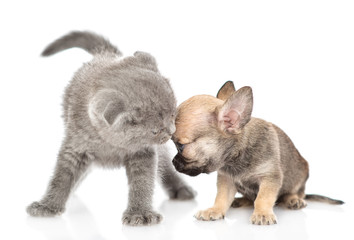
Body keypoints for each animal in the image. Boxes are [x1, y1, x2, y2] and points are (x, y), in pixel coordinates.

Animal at [26, 31, 195, 225]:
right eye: (155, 130)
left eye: (173, 115)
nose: (171, 132)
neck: (109, 143)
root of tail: (106, 53)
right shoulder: (75, 146)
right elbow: (62, 176)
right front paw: (47, 206)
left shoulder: (143, 152)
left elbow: (143, 182)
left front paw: (140, 213)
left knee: (165, 164)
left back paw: (180, 189)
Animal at [171, 81, 342, 225]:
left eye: (180, 146)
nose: (173, 162)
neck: (237, 157)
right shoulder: (227, 181)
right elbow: (222, 198)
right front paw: (214, 210)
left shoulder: (269, 178)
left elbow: (263, 198)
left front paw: (263, 214)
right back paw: (241, 201)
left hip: (300, 177)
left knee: (295, 193)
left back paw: (293, 200)